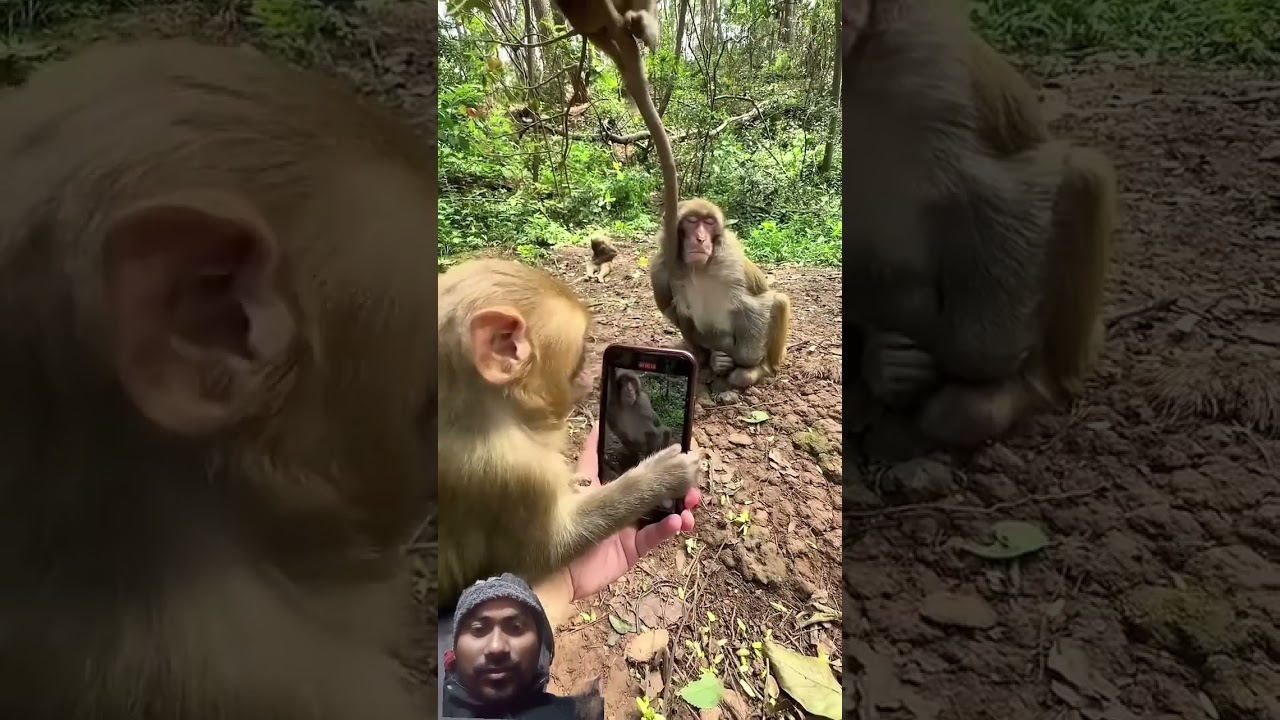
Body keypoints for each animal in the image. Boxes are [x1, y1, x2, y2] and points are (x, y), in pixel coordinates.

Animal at [437, 259, 700, 608]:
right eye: (579, 355)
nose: (590, 374)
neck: (480, 411)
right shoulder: (510, 471)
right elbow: (541, 557)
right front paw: (661, 477)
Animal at [649, 199, 793, 389]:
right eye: (692, 221)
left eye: (709, 223)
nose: (700, 239)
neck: (699, 268)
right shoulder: (659, 270)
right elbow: (672, 311)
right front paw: (712, 355)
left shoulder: (730, 262)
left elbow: (760, 302)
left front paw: (745, 361)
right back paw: (710, 362)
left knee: (779, 301)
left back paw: (759, 369)